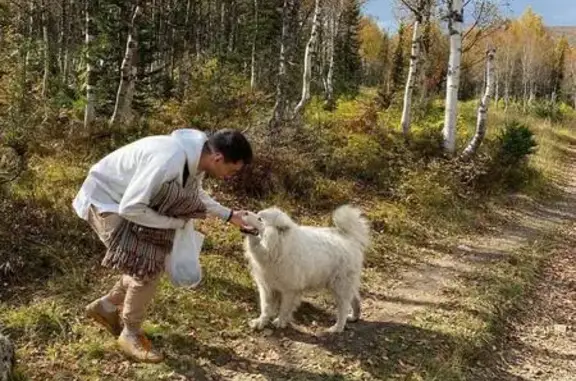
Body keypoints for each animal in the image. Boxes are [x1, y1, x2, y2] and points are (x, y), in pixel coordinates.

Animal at [241, 203, 372, 332]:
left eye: (260, 219)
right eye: (257, 214)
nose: (244, 212)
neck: (276, 249)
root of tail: (350, 237)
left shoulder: (289, 290)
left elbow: (284, 309)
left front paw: (280, 322)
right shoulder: (267, 288)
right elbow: (266, 308)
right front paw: (260, 322)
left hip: (340, 287)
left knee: (343, 309)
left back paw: (337, 328)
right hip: (343, 286)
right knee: (355, 300)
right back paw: (354, 317)